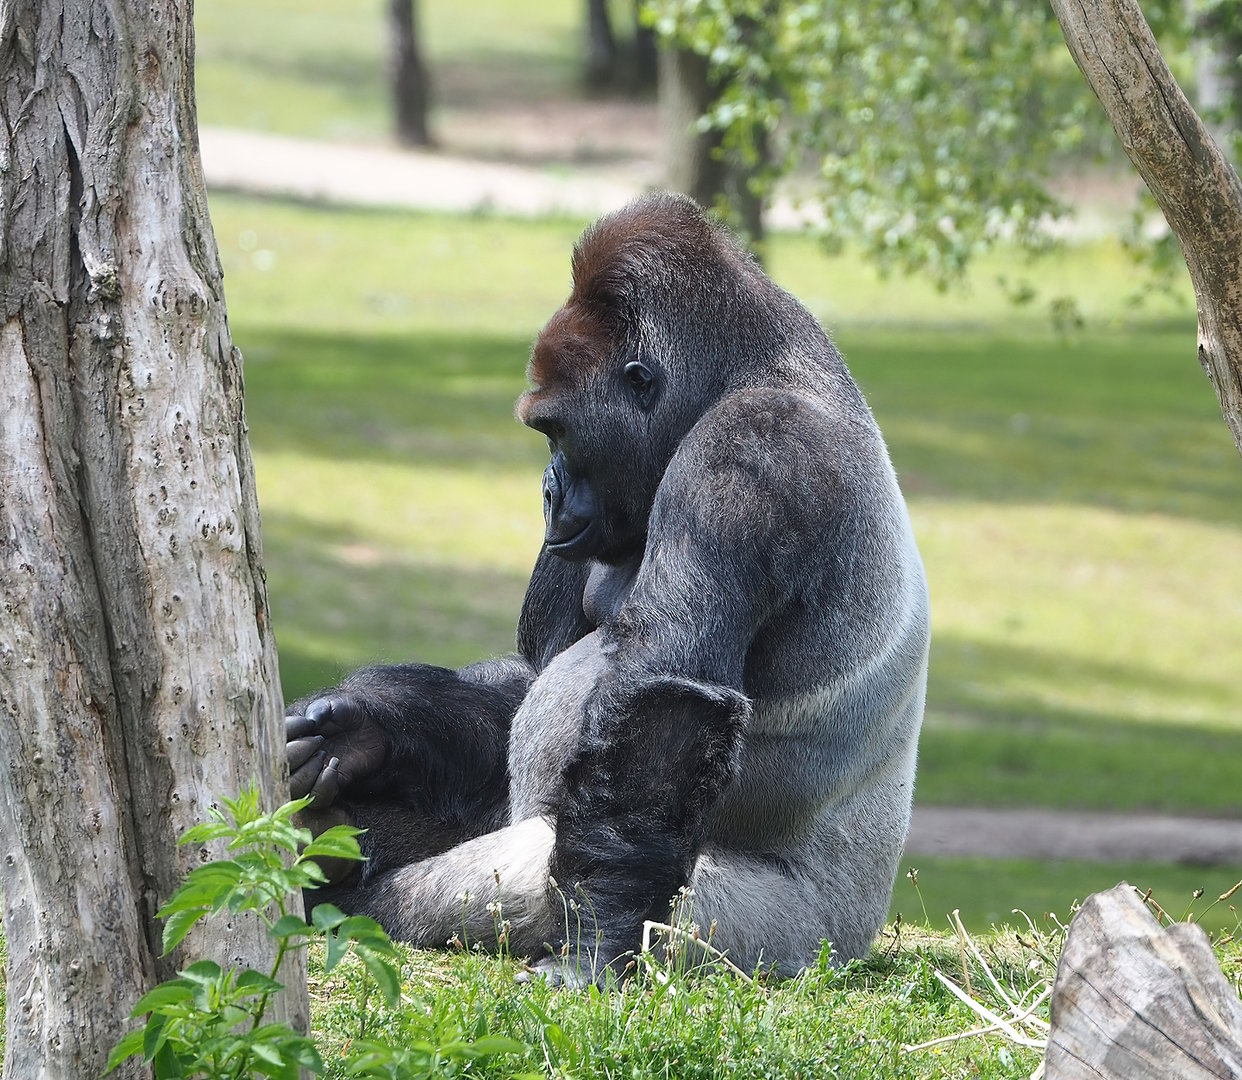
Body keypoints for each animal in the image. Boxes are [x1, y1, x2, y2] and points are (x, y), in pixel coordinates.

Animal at [285, 191, 930, 983]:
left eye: (556, 431)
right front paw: (360, 728)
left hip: (786, 939)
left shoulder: (749, 454)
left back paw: (348, 883)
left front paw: (593, 944)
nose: (548, 490)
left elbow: (666, 699)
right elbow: (531, 676)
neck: (752, 369)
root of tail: (860, 934)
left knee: (524, 875)